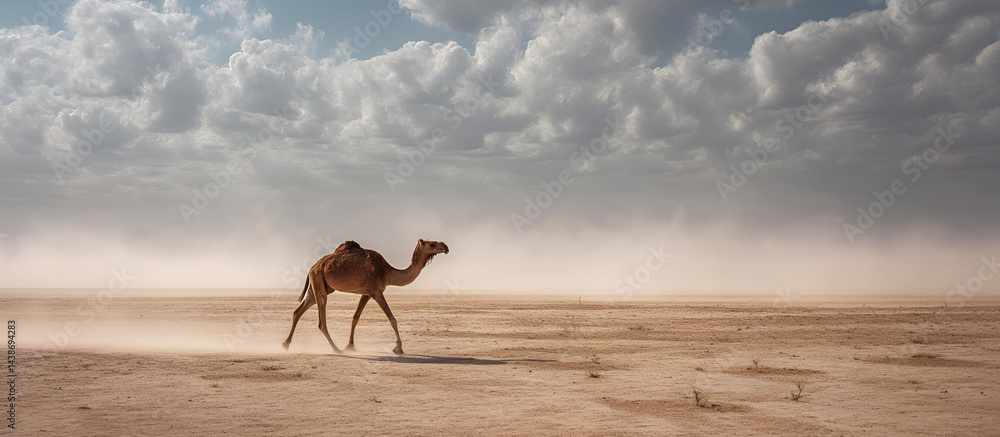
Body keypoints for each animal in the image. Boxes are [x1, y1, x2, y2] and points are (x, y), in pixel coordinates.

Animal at [282, 239, 449, 354]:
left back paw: (285, 344)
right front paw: (398, 348)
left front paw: (350, 345)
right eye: (432, 244)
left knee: (298, 311)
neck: (388, 272)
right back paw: (336, 349)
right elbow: (392, 318)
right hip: (319, 282)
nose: (446, 246)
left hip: (318, 285)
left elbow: (355, 317)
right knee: (321, 321)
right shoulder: (377, 292)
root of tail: (312, 266)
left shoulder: (366, 293)